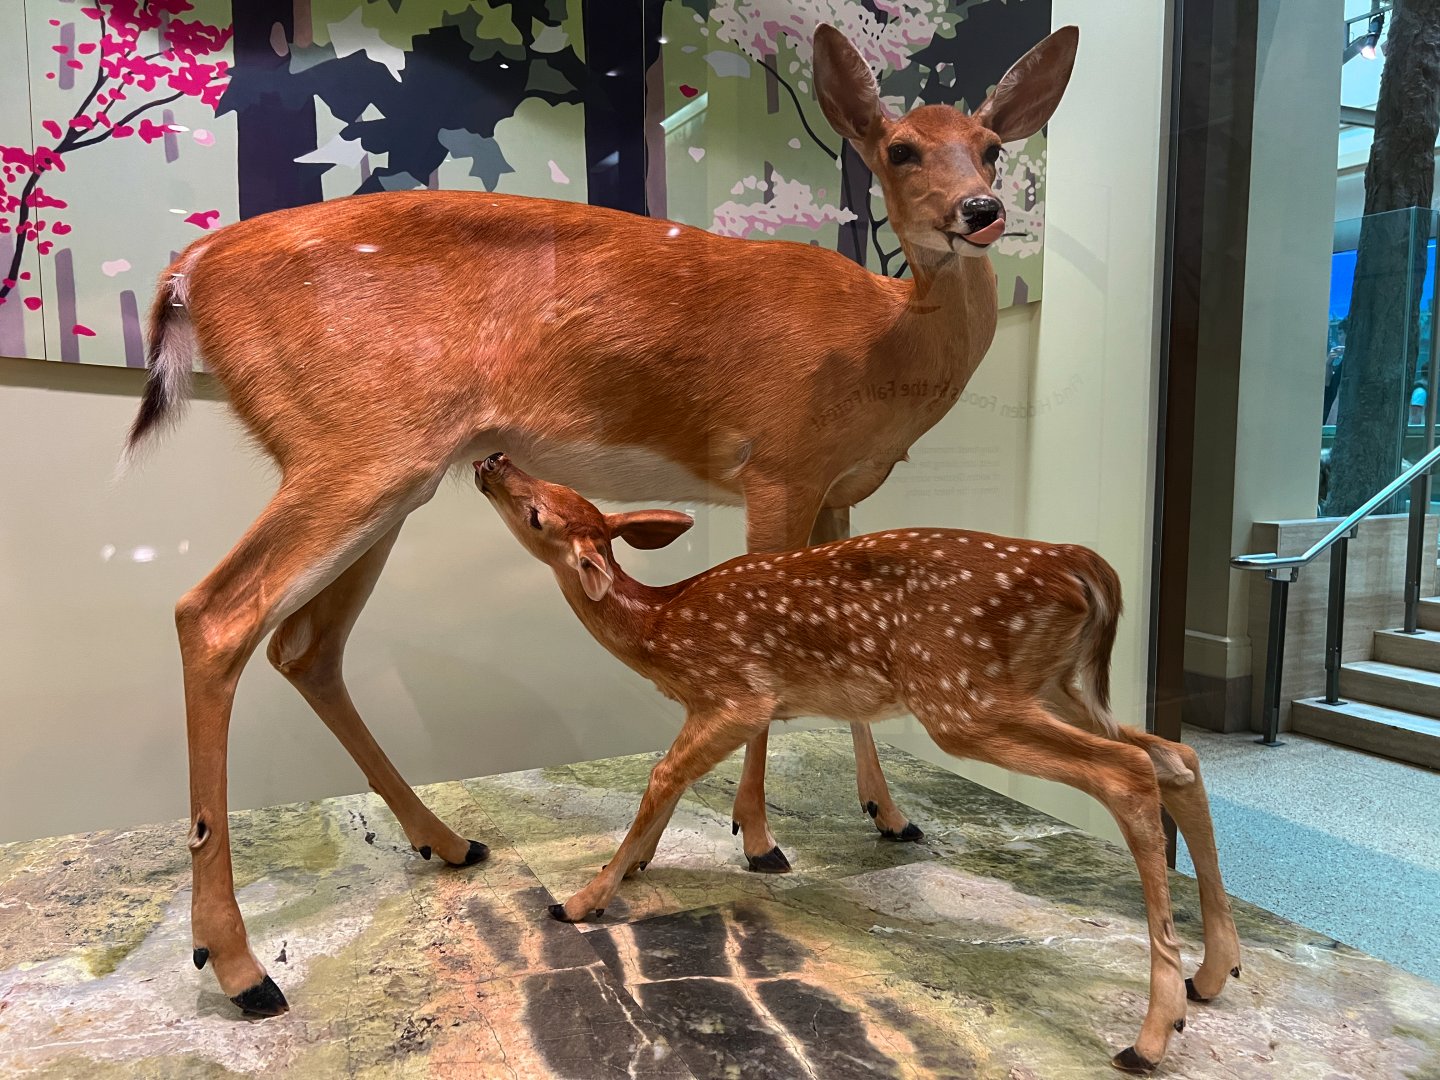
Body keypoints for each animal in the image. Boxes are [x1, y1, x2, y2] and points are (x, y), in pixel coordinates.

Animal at [120, 23, 1080, 1017]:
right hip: (355, 449)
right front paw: (759, 839)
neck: (882, 341)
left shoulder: (841, 487)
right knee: (214, 614)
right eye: (899, 149)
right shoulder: (778, 467)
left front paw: (890, 815)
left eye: (993, 146)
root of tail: (184, 273)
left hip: (385, 475)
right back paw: (241, 968)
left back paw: (447, 843)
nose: (980, 211)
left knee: (304, 647)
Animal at [474, 453, 1243, 1075]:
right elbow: (672, 782)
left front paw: (581, 899)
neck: (660, 629)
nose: (491, 458)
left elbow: (663, 775)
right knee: (1175, 755)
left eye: (539, 511)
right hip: (1049, 685)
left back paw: (1150, 1035)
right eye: (557, 489)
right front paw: (637, 865)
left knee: (1128, 771)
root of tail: (1085, 565)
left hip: (963, 697)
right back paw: (1212, 974)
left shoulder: (735, 695)